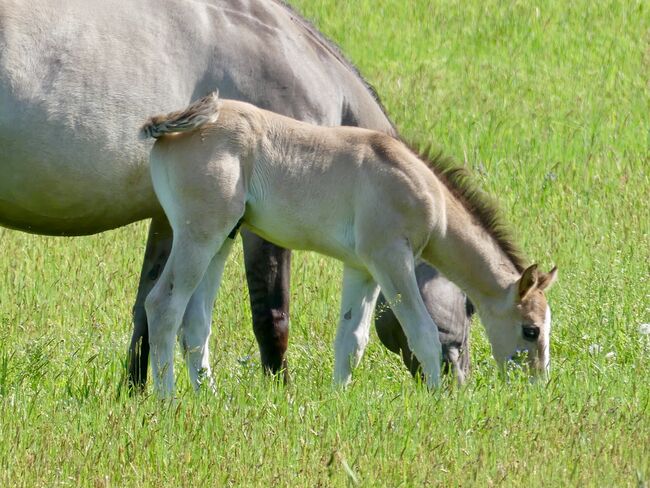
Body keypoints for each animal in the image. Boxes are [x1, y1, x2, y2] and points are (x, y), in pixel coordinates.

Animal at [0, 0, 466, 388]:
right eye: (470, 301)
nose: (459, 383)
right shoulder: (260, 228)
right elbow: (271, 316)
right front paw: (280, 392)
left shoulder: (172, 221)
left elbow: (145, 313)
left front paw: (132, 393)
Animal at [139, 93, 556, 398]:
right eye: (531, 330)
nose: (535, 387)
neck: (425, 192)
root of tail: (169, 126)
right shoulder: (390, 258)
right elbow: (422, 330)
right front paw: (438, 400)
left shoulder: (363, 268)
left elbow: (351, 340)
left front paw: (338, 401)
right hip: (199, 236)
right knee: (163, 305)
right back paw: (168, 399)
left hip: (222, 239)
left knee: (196, 320)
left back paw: (208, 397)